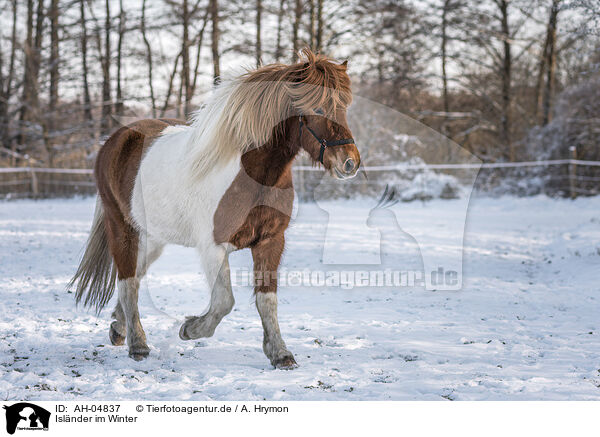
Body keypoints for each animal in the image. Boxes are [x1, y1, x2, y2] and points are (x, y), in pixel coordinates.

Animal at [70, 48, 360, 368]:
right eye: (317, 108)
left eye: (345, 107)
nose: (350, 162)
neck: (254, 175)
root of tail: (114, 140)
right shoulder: (213, 246)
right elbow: (224, 302)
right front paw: (189, 328)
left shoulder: (271, 241)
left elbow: (266, 300)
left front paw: (280, 353)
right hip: (123, 228)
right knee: (127, 280)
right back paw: (138, 345)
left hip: (154, 236)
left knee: (136, 272)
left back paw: (119, 328)